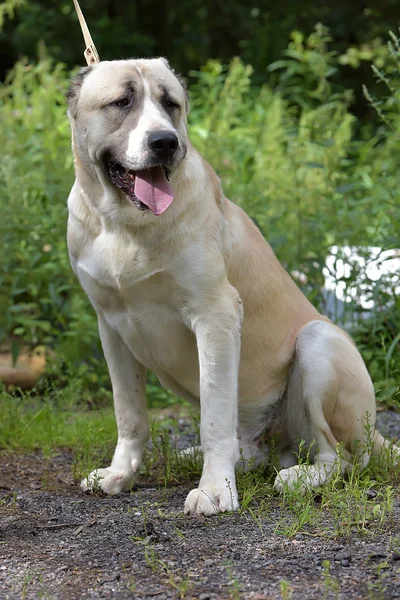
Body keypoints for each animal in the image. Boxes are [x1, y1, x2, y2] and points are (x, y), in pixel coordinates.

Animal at [65, 57, 396, 516]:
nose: (165, 142)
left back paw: (299, 477)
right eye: (122, 102)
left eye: (171, 104)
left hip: (319, 342)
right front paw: (120, 474)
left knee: (342, 458)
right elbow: (129, 413)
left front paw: (215, 489)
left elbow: (214, 417)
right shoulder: (111, 325)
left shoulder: (215, 315)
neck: (123, 224)